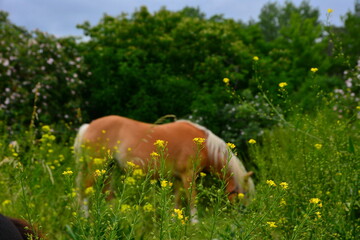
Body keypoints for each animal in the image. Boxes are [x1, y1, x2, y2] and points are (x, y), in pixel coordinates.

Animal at [74, 115, 256, 218]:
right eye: (245, 194)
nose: (244, 215)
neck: (205, 146)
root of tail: (89, 126)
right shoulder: (188, 176)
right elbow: (192, 201)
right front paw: (195, 225)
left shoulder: (177, 179)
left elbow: (176, 203)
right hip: (95, 168)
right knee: (84, 191)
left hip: (109, 169)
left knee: (107, 194)